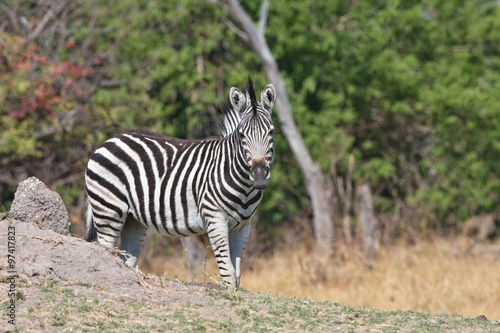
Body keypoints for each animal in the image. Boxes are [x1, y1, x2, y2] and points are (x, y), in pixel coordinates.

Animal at [83, 78, 276, 288]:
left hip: (133, 220)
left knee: (126, 258)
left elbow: (237, 274)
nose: (259, 176)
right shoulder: (215, 219)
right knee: (106, 248)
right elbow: (228, 274)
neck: (244, 187)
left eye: (271, 133)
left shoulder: (243, 227)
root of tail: (109, 140)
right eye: (242, 136)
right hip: (108, 210)